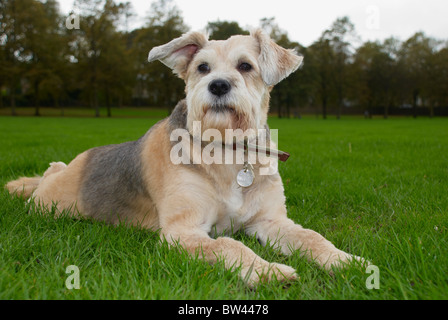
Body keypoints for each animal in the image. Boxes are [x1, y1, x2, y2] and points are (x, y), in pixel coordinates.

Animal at [6, 28, 364, 286]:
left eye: (245, 66)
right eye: (202, 67)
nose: (217, 85)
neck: (226, 152)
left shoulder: (271, 221)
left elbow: (312, 237)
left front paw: (345, 261)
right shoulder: (183, 232)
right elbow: (230, 244)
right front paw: (267, 271)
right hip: (50, 205)